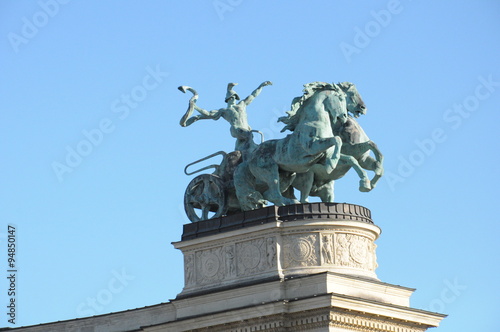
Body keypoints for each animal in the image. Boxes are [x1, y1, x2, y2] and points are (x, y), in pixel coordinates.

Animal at [232, 81, 350, 210]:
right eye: (340, 98)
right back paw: (290, 202)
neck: (315, 122)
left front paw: (331, 163)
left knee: (269, 194)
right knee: (273, 193)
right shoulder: (312, 147)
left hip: (288, 175)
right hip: (270, 171)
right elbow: (337, 139)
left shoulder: (322, 155)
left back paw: (293, 201)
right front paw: (331, 164)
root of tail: (250, 159)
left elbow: (339, 148)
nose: (344, 116)